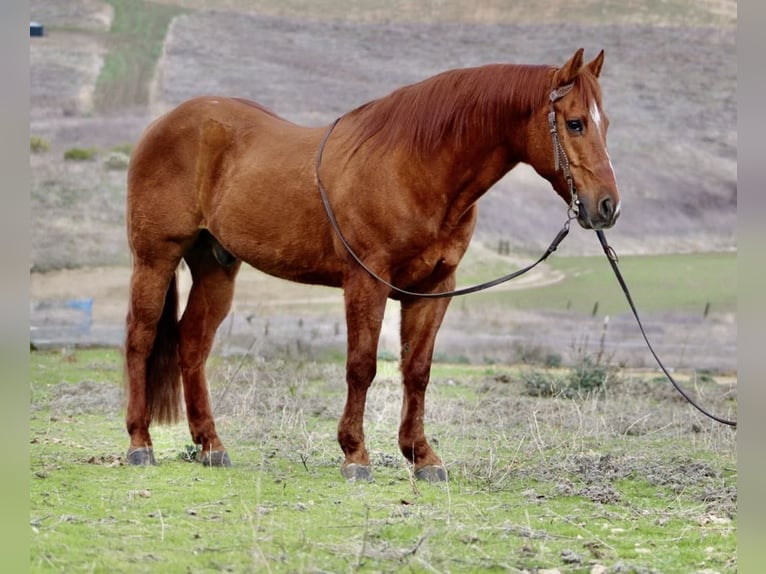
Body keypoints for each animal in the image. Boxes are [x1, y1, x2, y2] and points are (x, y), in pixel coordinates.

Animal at [124, 48, 616, 482]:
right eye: (574, 123)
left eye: (604, 123)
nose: (607, 206)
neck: (414, 168)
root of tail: (163, 125)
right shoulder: (366, 281)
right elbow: (361, 367)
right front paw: (355, 455)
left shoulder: (434, 288)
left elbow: (417, 371)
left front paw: (422, 457)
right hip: (155, 258)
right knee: (140, 338)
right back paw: (139, 443)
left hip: (216, 266)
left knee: (192, 344)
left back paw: (211, 446)